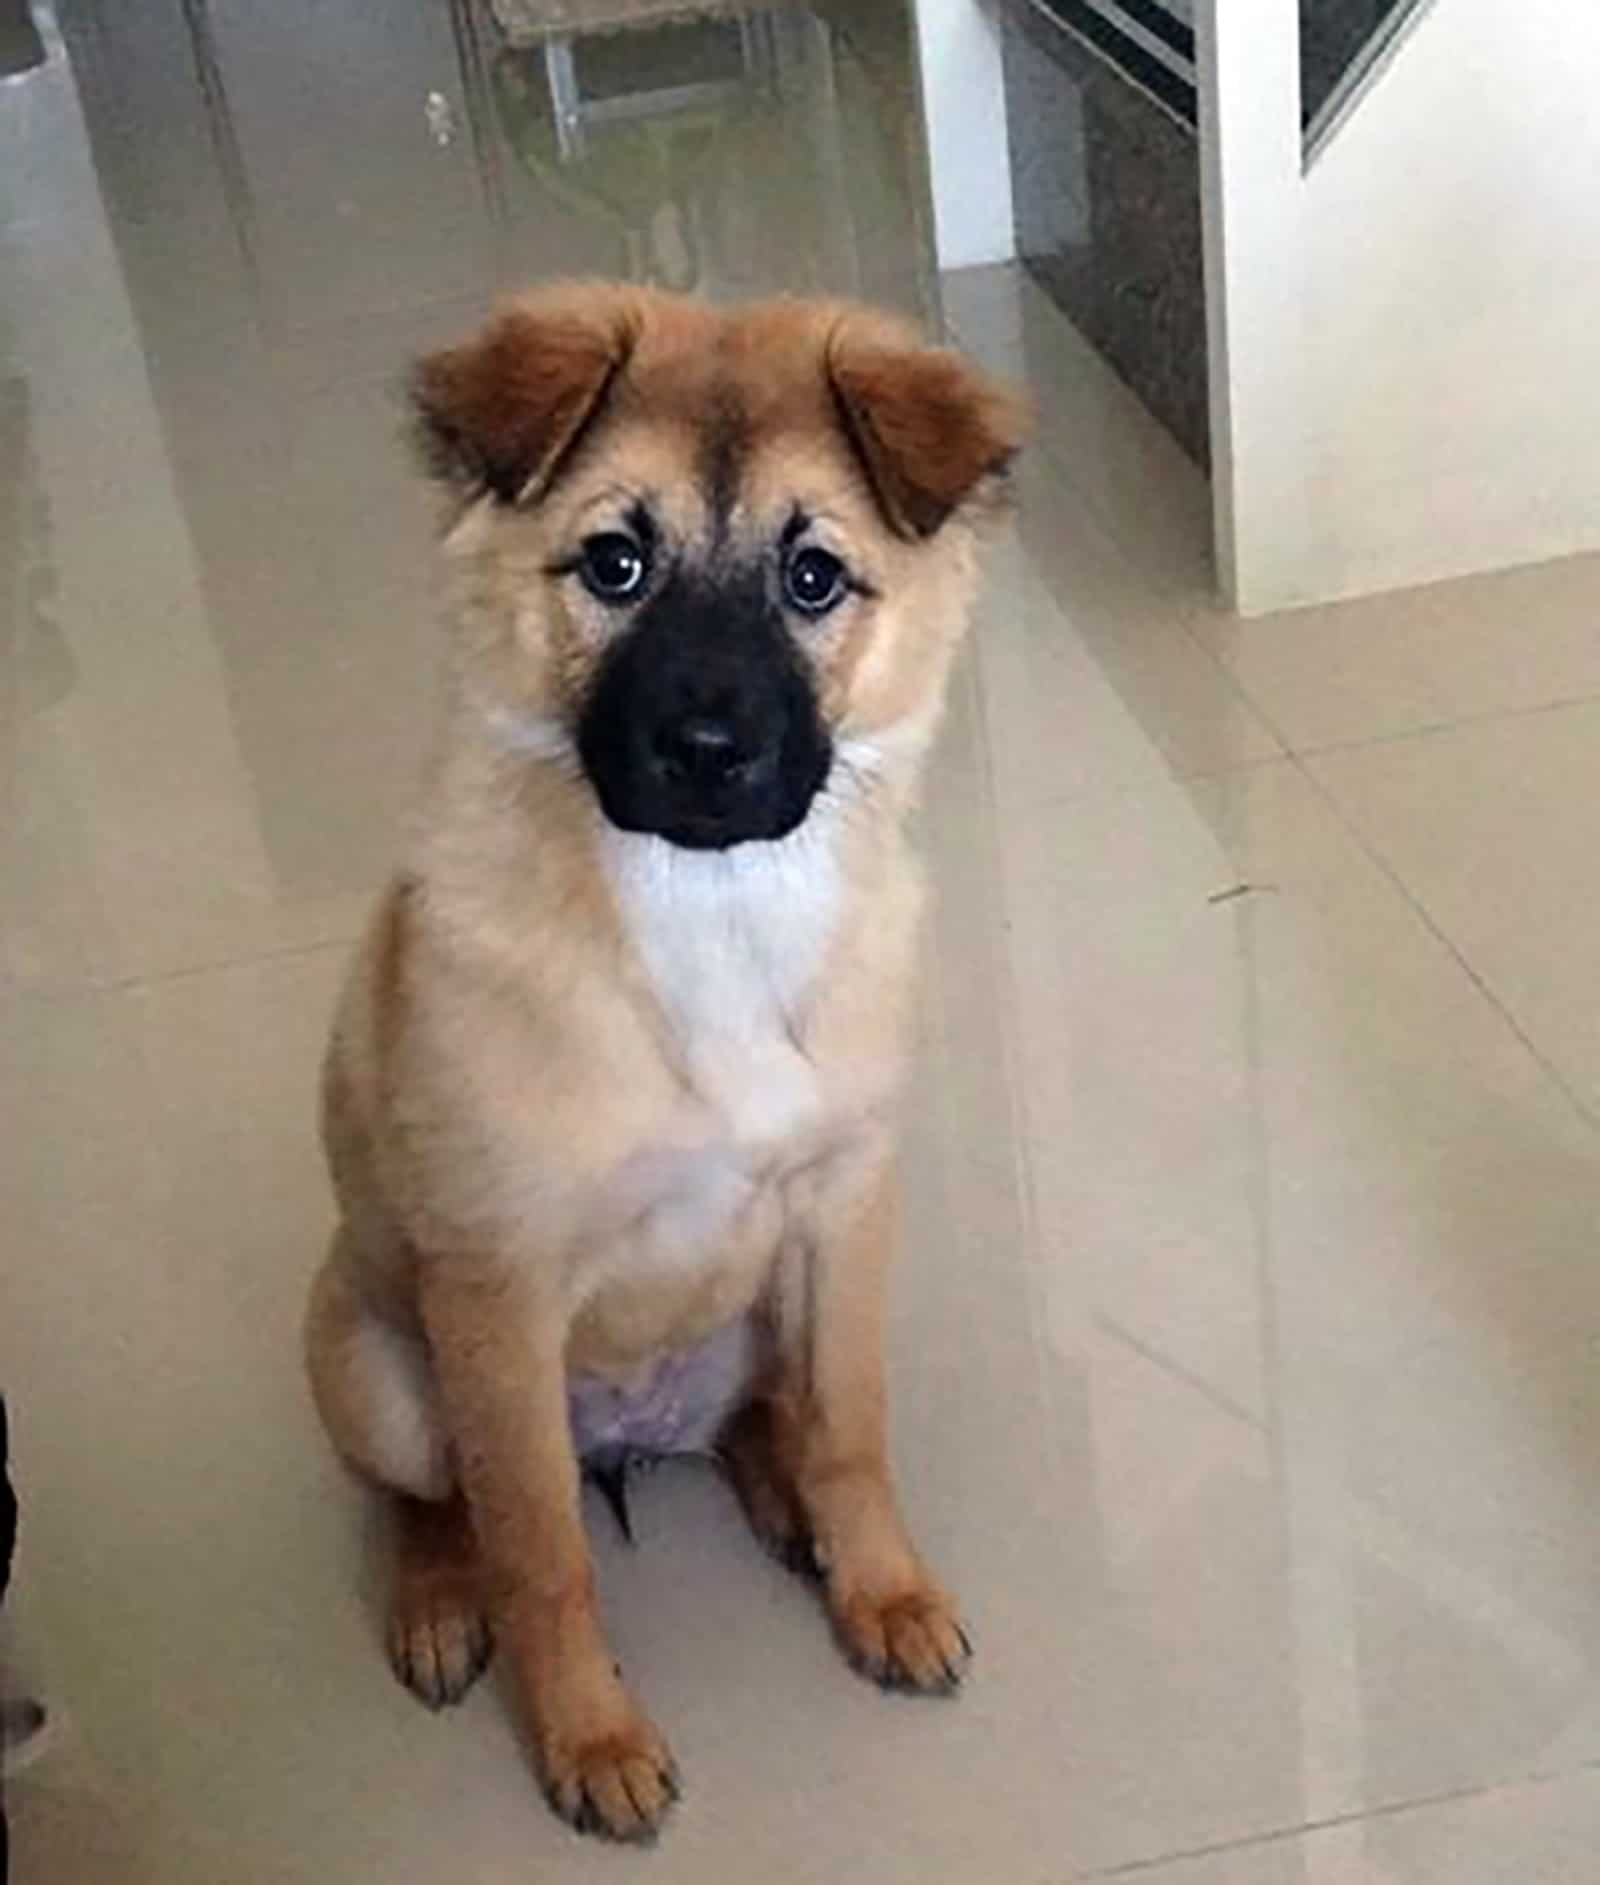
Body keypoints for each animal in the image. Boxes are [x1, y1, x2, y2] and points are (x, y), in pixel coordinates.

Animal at [303, 278, 1025, 1839]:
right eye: (615, 563)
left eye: (813, 580)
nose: (704, 750)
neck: (711, 916)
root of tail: (628, 1434)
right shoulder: (499, 1289)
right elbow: (539, 1553)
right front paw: (590, 1738)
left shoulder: (844, 1203)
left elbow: (853, 1431)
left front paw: (882, 1588)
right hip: (383, 1371)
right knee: (438, 1502)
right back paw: (437, 1600)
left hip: (755, 1316)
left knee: (771, 1416)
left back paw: (786, 1505)